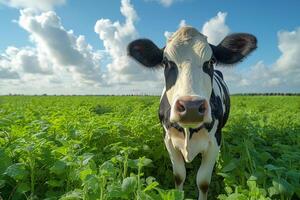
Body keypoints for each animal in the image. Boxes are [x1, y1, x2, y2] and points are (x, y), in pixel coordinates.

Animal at [127, 25, 256, 199]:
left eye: (211, 61)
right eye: (166, 62)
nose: (191, 107)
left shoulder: (214, 142)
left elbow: (203, 181)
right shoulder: (168, 140)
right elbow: (179, 176)